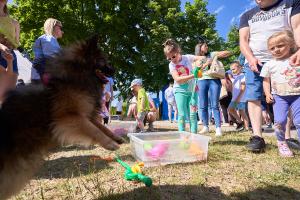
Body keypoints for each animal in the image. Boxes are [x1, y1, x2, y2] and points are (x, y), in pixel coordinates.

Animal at [0, 36, 123, 198]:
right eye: (103, 61)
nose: (114, 71)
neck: (75, 78)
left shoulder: (85, 115)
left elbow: (102, 127)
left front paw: (116, 138)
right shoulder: (70, 117)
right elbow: (94, 130)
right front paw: (110, 144)